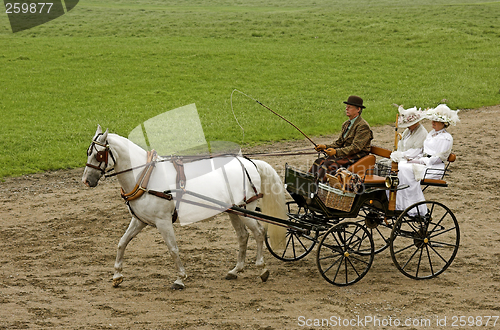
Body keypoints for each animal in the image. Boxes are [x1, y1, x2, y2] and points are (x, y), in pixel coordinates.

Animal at [82, 125, 286, 290]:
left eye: (98, 154)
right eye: (87, 152)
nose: (86, 181)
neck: (146, 176)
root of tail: (248, 161)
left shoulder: (163, 221)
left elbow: (173, 249)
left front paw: (180, 278)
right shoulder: (139, 220)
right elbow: (122, 242)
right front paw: (117, 275)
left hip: (247, 209)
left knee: (259, 232)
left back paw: (261, 268)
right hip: (234, 211)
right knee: (243, 236)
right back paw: (236, 270)